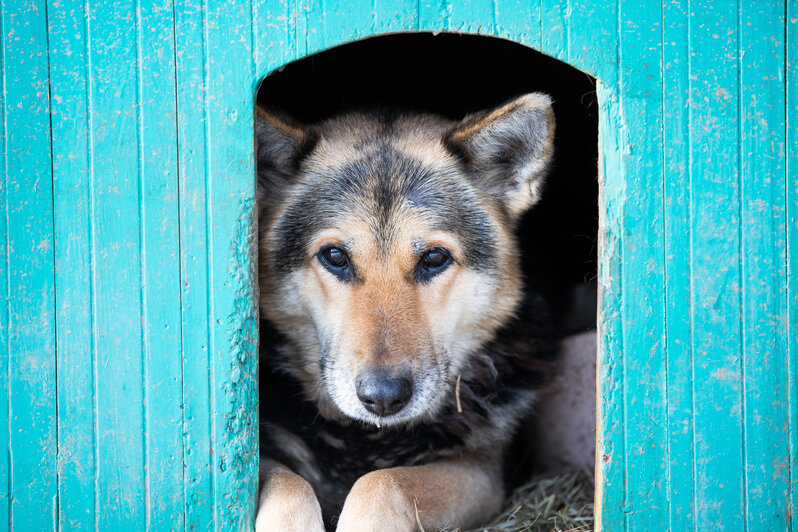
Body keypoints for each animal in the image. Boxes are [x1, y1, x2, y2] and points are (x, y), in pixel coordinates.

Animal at [255, 94, 556, 532]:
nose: (383, 398)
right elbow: (288, 485)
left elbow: (382, 483)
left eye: (434, 258)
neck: (368, 438)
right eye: (335, 257)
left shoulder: (479, 471)